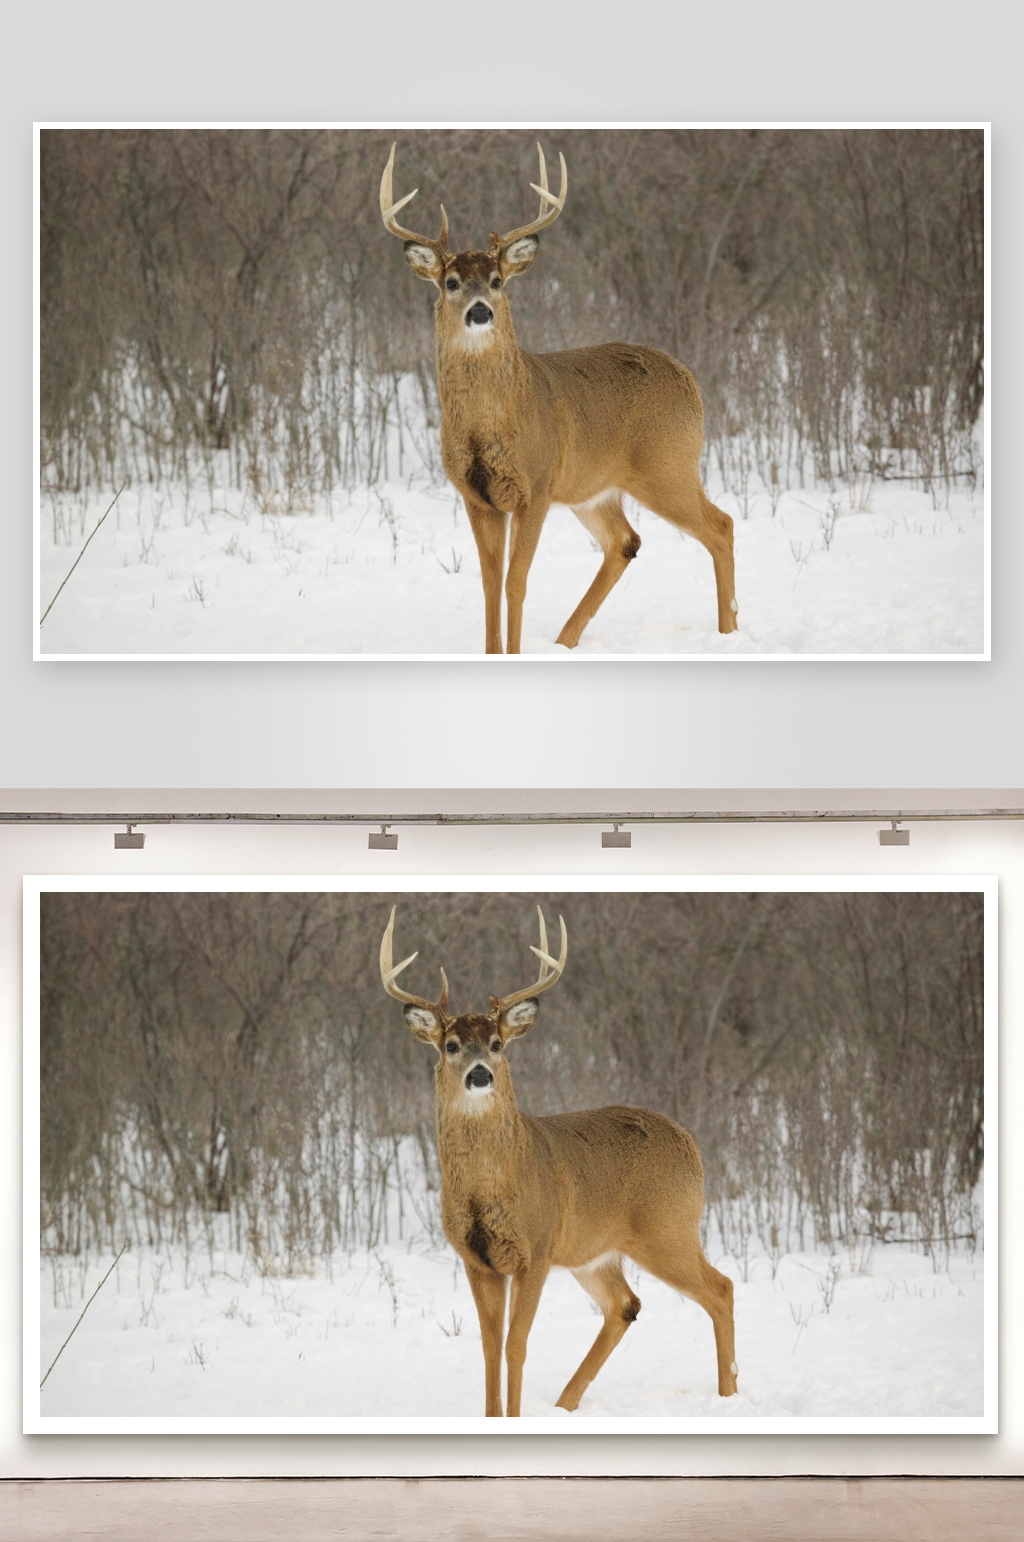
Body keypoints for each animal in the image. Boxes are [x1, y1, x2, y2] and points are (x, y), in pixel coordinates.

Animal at [379, 904, 738, 1417]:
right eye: (451, 1045)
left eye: (497, 1044)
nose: (480, 1075)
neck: (490, 1188)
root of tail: (690, 1141)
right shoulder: (477, 1259)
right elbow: (489, 1347)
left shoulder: (537, 1248)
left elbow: (516, 1345)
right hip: (595, 1251)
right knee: (625, 1305)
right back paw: (565, 1405)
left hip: (668, 1229)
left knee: (720, 1289)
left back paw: (729, 1394)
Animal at [380, 143, 739, 654]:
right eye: (451, 282)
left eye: (497, 280)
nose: (480, 312)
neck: (490, 424)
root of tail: (690, 378)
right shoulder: (477, 496)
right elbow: (488, 584)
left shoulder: (537, 485)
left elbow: (516, 582)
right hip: (595, 488)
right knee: (625, 542)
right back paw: (565, 641)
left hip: (667, 466)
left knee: (720, 526)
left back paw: (729, 631)